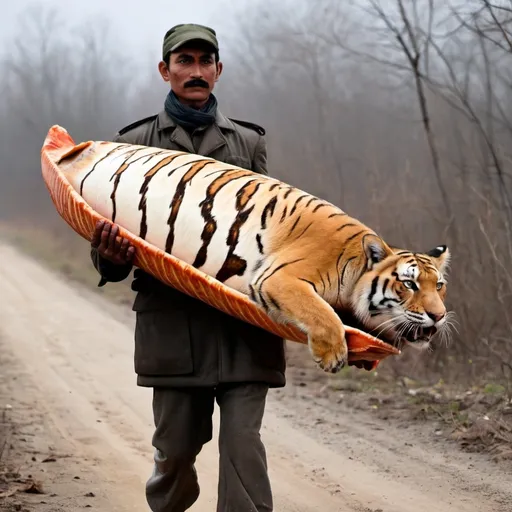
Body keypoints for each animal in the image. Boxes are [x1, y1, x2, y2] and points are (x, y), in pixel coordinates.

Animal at [54, 138, 450, 374]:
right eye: (409, 284)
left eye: (440, 285)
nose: (439, 316)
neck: (352, 266)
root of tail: (73, 148)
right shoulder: (283, 277)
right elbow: (320, 312)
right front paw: (333, 354)